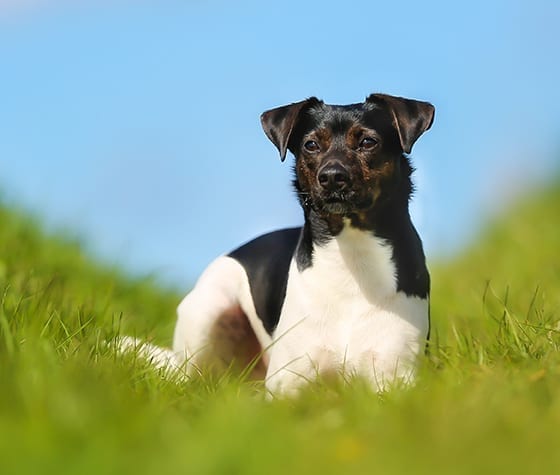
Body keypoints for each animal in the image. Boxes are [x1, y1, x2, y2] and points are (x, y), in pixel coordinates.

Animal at [124, 93, 436, 398]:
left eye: (368, 142)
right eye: (311, 145)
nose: (332, 176)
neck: (352, 258)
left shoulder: (395, 376)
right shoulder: (287, 383)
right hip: (207, 312)